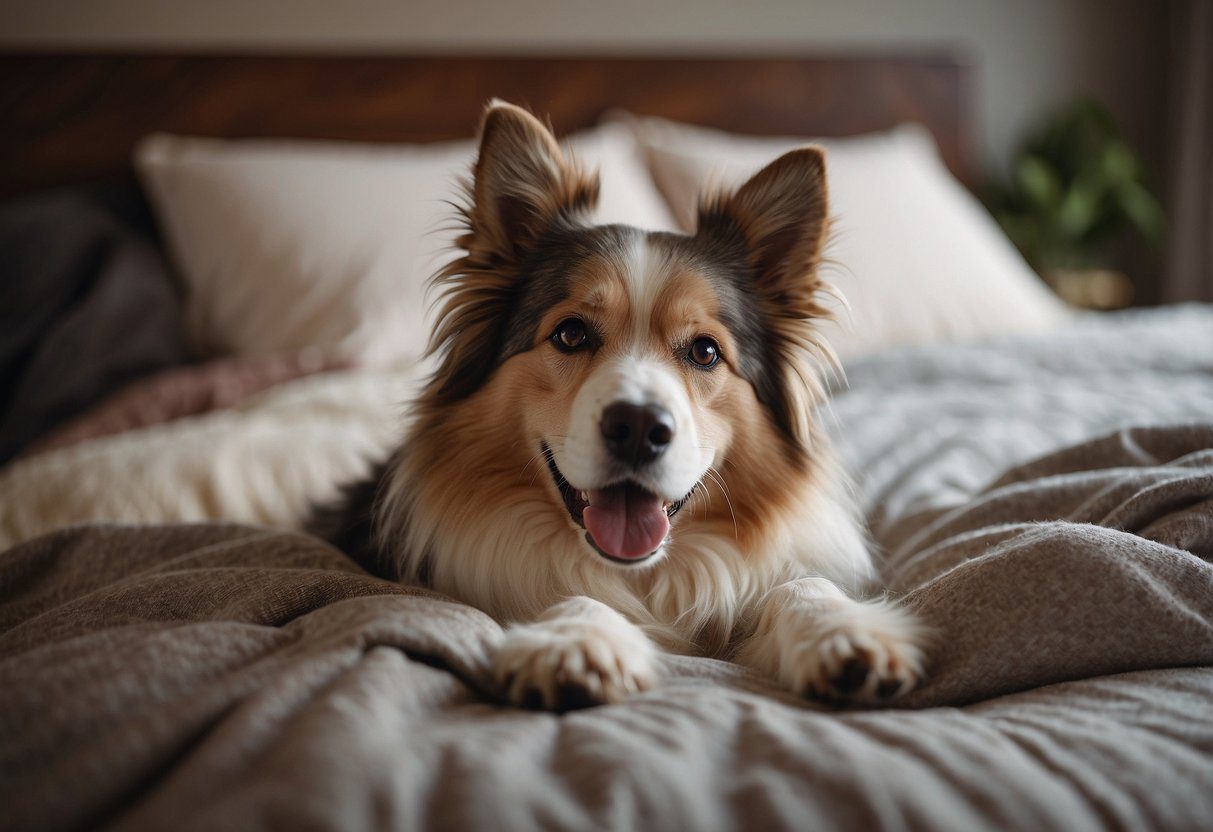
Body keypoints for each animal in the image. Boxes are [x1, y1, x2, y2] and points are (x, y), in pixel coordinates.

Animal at [317, 101, 921, 713]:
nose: (638, 427)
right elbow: (574, 585)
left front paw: (842, 632)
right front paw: (574, 642)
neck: (643, 576)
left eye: (705, 351)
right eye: (570, 334)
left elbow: (803, 583)